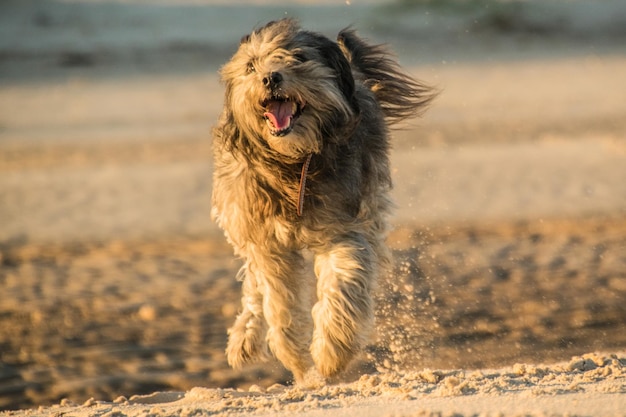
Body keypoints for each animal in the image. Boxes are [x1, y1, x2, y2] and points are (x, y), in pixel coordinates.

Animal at [210, 19, 434, 384]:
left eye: (299, 58)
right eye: (251, 66)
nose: (270, 78)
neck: (294, 163)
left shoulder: (343, 227)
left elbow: (342, 286)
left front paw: (331, 355)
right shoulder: (266, 241)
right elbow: (278, 300)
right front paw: (298, 360)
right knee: (254, 285)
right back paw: (245, 338)